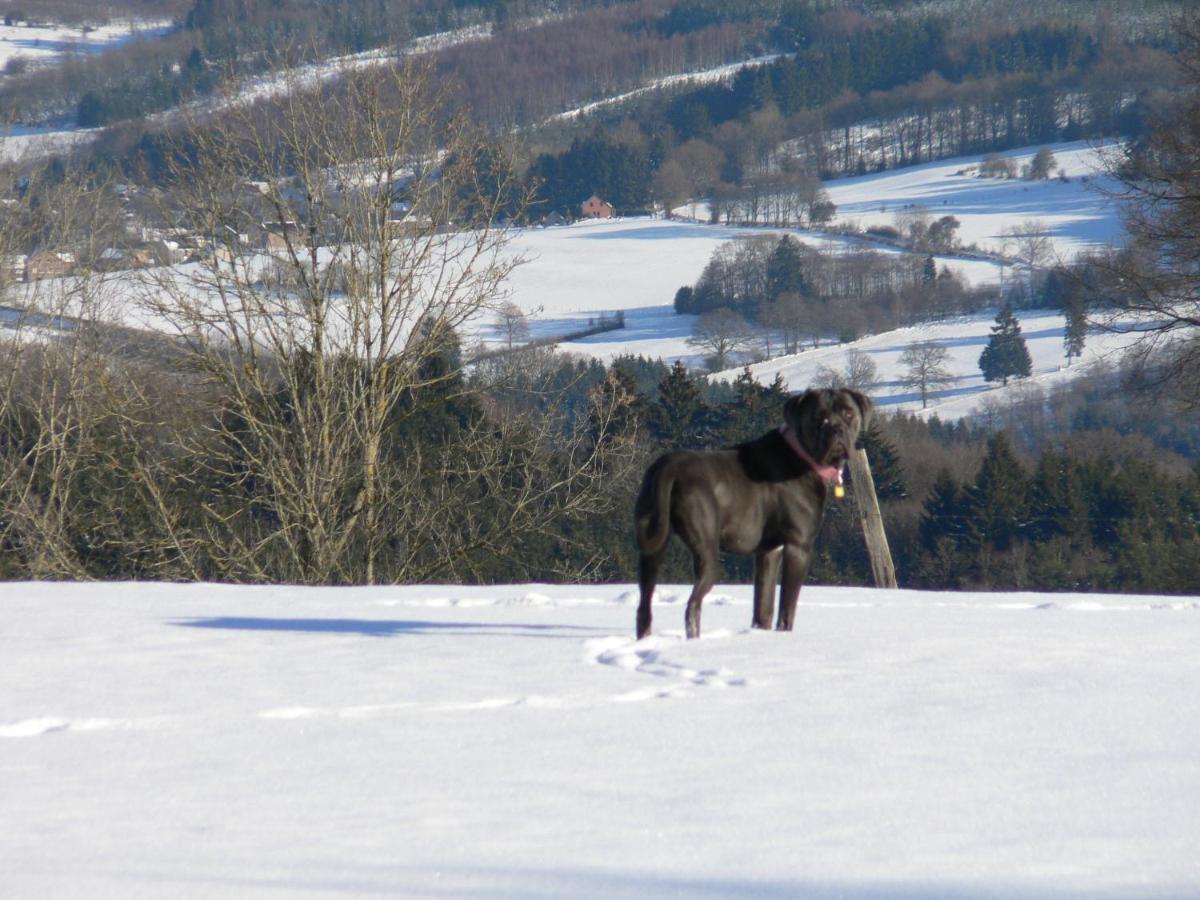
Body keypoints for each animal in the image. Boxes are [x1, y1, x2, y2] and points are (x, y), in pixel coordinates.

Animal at [633, 388, 868, 643]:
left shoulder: (768, 551)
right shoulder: (799, 546)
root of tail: (669, 468)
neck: (802, 456)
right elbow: (787, 607)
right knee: (692, 605)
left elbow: (763, 606)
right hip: (707, 549)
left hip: (652, 548)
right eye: (818, 416)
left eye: (848, 413)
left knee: (644, 605)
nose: (837, 430)